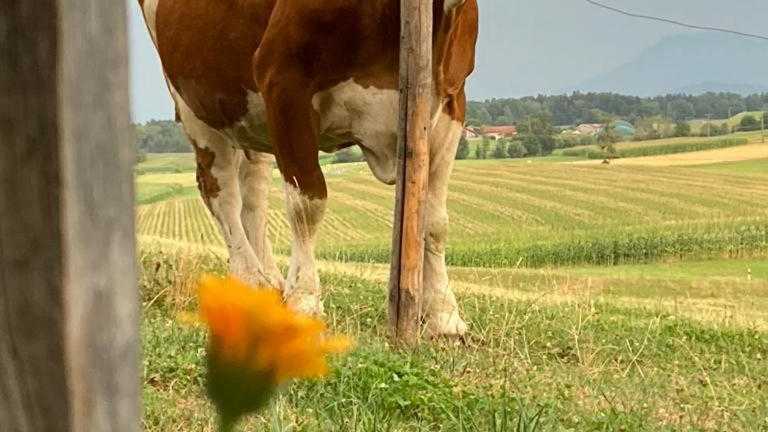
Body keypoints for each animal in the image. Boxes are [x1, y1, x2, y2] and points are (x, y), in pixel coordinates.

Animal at [138, 0, 478, 336]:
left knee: (254, 195)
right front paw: (304, 301)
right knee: (221, 194)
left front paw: (444, 316)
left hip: (249, 115)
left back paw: (268, 284)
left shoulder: (451, 99)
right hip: (194, 99)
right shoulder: (284, 82)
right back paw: (251, 279)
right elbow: (307, 205)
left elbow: (434, 220)